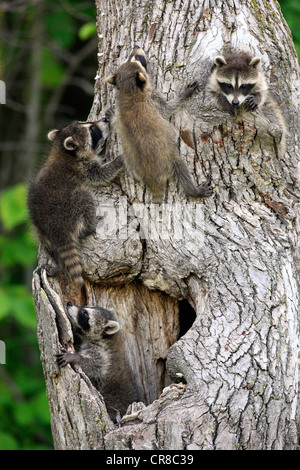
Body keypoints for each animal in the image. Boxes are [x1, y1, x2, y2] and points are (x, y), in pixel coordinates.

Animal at [27, 118, 123, 290]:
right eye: (91, 130)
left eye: (84, 122)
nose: (104, 119)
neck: (63, 151)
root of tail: (58, 229)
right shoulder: (83, 167)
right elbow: (100, 175)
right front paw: (118, 162)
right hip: (71, 205)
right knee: (85, 199)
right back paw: (91, 225)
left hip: (40, 230)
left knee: (49, 246)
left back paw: (58, 263)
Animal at [105, 45, 211, 204]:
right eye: (137, 59)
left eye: (132, 58)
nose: (136, 46)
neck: (128, 90)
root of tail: (150, 178)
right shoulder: (153, 101)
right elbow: (169, 108)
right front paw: (184, 94)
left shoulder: (121, 107)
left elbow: (117, 119)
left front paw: (112, 116)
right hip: (169, 159)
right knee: (181, 167)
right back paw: (194, 190)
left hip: (130, 164)